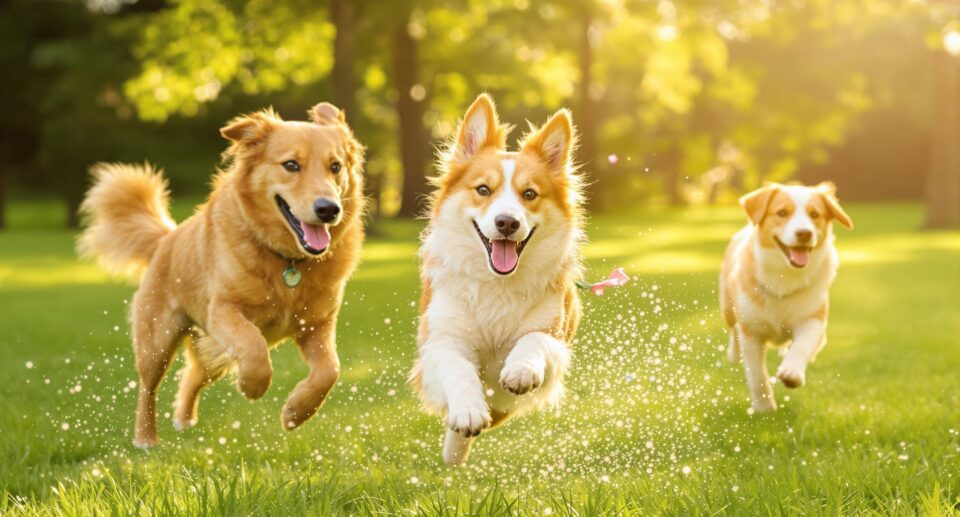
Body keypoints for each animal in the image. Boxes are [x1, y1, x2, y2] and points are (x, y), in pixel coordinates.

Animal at [78, 103, 364, 446]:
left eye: (335, 167)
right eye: (291, 165)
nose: (329, 209)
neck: (287, 262)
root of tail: (166, 239)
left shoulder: (317, 326)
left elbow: (329, 371)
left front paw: (296, 412)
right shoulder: (223, 312)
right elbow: (254, 346)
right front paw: (252, 385)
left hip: (211, 353)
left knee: (192, 378)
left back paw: (184, 421)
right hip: (157, 341)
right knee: (148, 389)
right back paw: (146, 439)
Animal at [406, 92, 580, 464]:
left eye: (529, 194)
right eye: (483, 189)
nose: (507, 223)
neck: (496, 284)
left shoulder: (556, 342)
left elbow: (534, 340)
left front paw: (521, 368)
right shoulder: (438, 345)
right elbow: (458, 367)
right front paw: (468, 412)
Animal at [724, 181, 852, 412]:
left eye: (814, 214)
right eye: (782, 212)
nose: (804, 233)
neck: (784, 277)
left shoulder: (814, 320)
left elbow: (802, 345)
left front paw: (792, 372)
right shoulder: (751, 331)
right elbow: (757, 374)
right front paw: (764, 408)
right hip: (726, 306)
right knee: (733, 330)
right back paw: (733, 353)